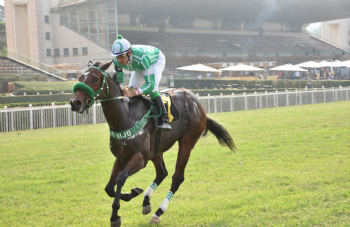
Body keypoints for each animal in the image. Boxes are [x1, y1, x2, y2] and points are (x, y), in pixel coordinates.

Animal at [69, 60, 237, 227]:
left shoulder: (140, 158)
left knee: (177, 178)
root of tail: (197, 102)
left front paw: (115, 216)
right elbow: (109, 187)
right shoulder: (121, 158)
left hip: (187, 142)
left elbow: (121, 178)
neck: (126, 116)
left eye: (95, 79)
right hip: (157, 149)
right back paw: (146, 200)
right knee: (162, 172)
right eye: (80, 77)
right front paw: (133, 193)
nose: (74, 103)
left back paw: (158, 212)